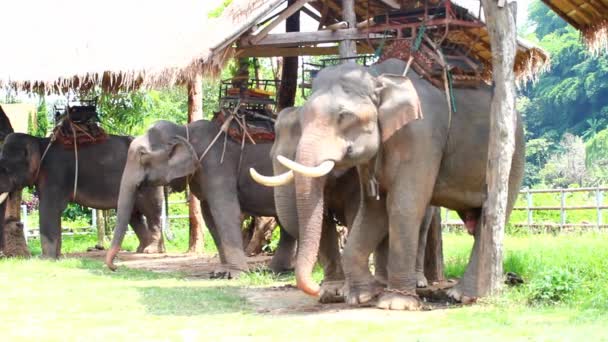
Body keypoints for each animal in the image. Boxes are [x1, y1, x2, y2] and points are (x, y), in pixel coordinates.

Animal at [0, 132, 165, 258]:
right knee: (134, 215)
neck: (39, 142)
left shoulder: (55, 174)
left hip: (149, 183)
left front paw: (46, 259)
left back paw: (151, 251)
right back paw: (143, 250)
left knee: (151, 212)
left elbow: (49, 208)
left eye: (6, 168)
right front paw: (57, 256)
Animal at [105, 119, 296, 276]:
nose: (115, 267)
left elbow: (226, 212)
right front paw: (220, 272)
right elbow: (209, 216)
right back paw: (276, 270)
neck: (184, 130)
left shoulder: (217, 167)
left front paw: (235, 274)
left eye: (142, 154)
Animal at [252, 58, 524, 310]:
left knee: (490, 216)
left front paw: (395, 303)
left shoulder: (420, 135)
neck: (376, 76)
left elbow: (403, 206)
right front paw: (360, 296)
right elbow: (373, 210)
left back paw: (464, 296)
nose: (313, 289)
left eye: (344, 116)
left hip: (510, 155)